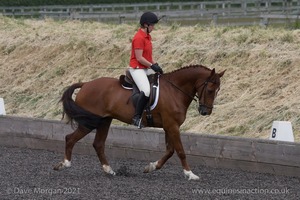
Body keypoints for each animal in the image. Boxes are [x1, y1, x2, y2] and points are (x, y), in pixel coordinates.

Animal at [53, 65, 225, 180]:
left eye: (217, 91)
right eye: (210, 90)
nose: (205, 112)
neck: (175, 90)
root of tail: (86, 84)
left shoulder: (169, 127)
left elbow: (170, 151)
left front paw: (151, 167)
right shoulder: (172, 126)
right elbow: (180, 151)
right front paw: (190, 174)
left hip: (104, 121)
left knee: (98, 144)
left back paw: (109, 170)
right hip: (89, 122)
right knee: (71, 138)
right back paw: (65, 164)